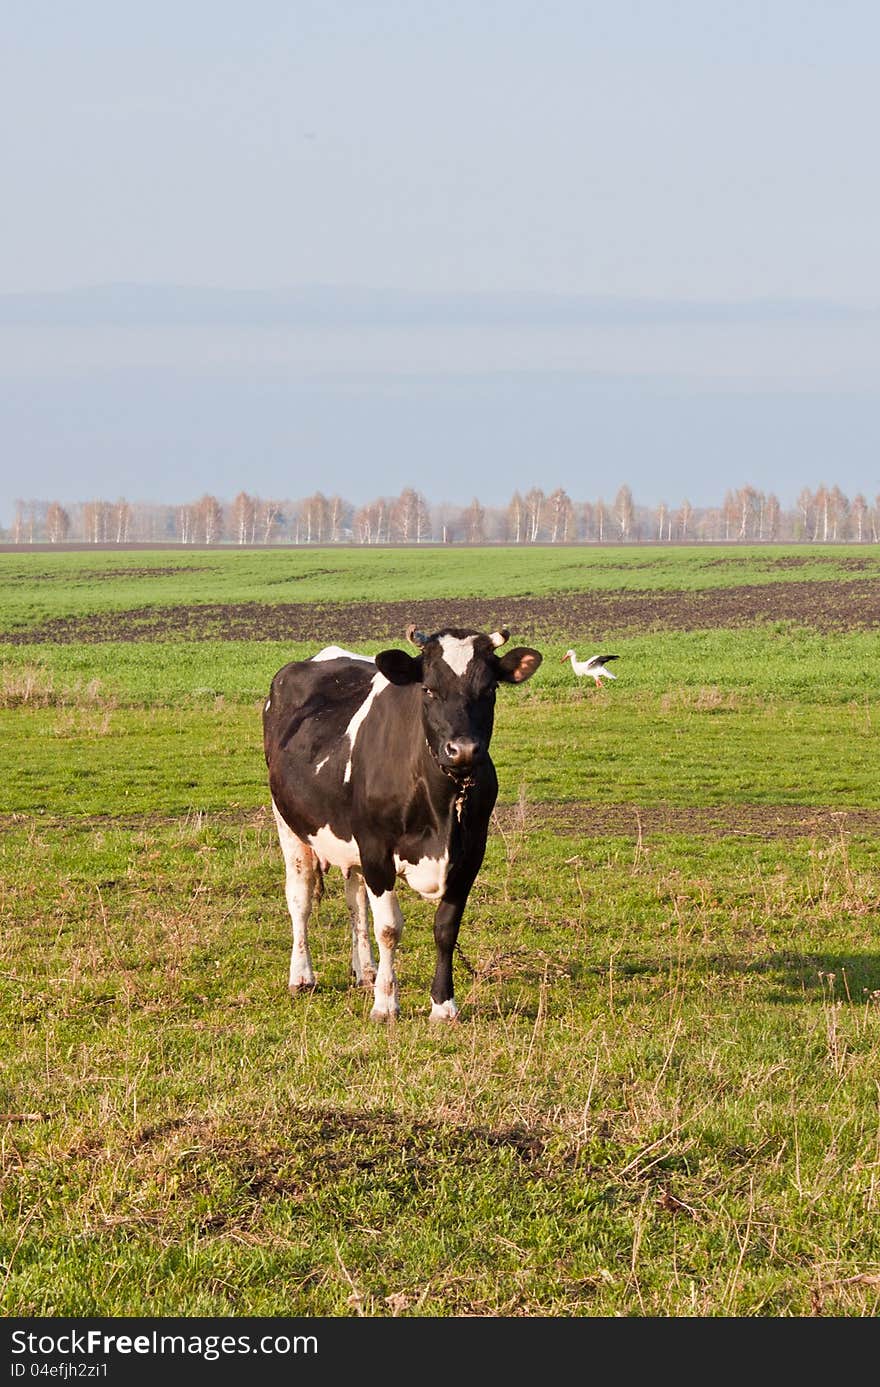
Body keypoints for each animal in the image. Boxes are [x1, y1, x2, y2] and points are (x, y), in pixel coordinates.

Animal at [258, 624, 541, 1026]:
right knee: (300, 897)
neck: (441, 804)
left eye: (489, 689)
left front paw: (443, 1005)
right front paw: (386, 1004)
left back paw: (366, 971)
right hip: (289, 825)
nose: (463, 750)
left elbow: (446, 927)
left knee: (355, 901)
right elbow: (389, 928)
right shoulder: (377, 846)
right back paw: (302, 976)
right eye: (429, 689)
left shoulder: (472, 852)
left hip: (350, 840)